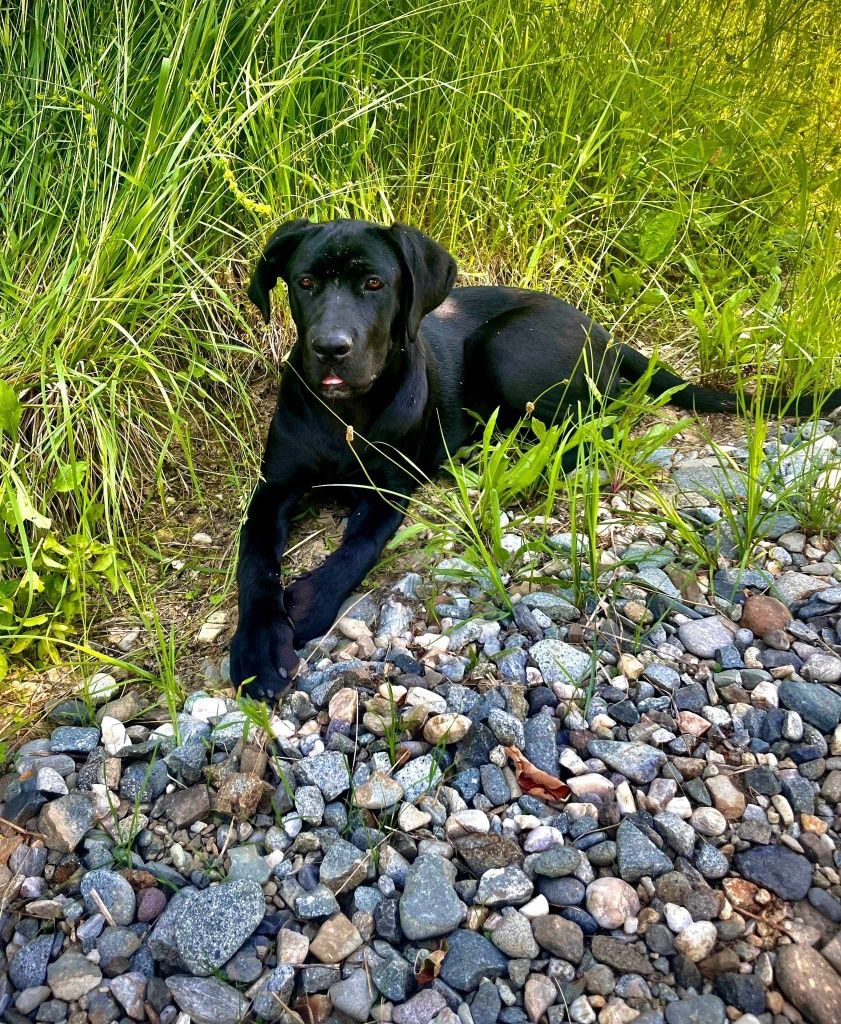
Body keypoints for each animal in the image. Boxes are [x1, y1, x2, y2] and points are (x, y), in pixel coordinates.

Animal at [229, 219, 839, 700]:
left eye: (374, 284)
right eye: (305, 283)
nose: (331, 348)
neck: (347, 415)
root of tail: (602, 331)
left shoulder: (390, 489)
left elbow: (357, 546)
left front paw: (310, 602)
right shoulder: (273, 489)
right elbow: (254, 562)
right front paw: (258, 646)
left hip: (504, 348)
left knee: (603, 421)